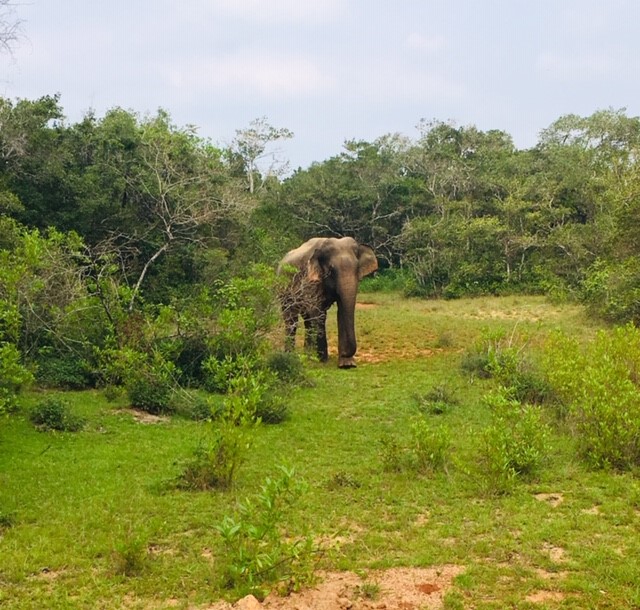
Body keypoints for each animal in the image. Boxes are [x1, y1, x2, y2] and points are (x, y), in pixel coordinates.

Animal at [278, 235, 378, 366]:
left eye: (357, 268)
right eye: (331, 269)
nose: (346, 353)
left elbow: (341, 310)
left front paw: (347, 365)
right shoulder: (310, 279)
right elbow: (318, 312)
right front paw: (322, 360)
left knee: (307, 320)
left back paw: (307, 355)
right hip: (283, 290)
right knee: (291, 319)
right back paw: (290, 355)